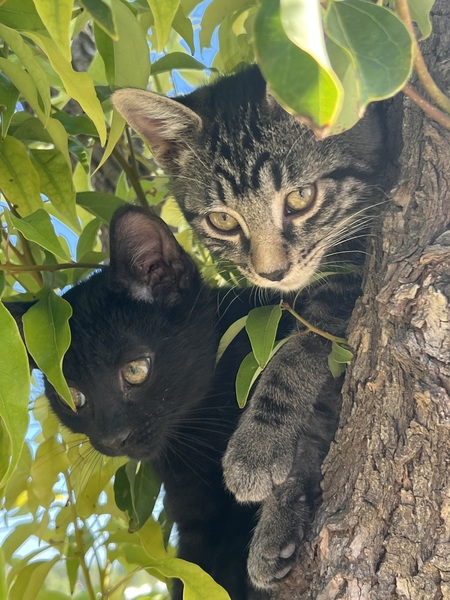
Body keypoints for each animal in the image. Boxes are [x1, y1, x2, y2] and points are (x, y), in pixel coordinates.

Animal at [111, 65, 384, 584]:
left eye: (300, 197)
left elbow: (301, 345)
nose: (271, 273)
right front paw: (281, 509)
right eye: (222, 220)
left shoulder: (355, 266)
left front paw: (256, 447)